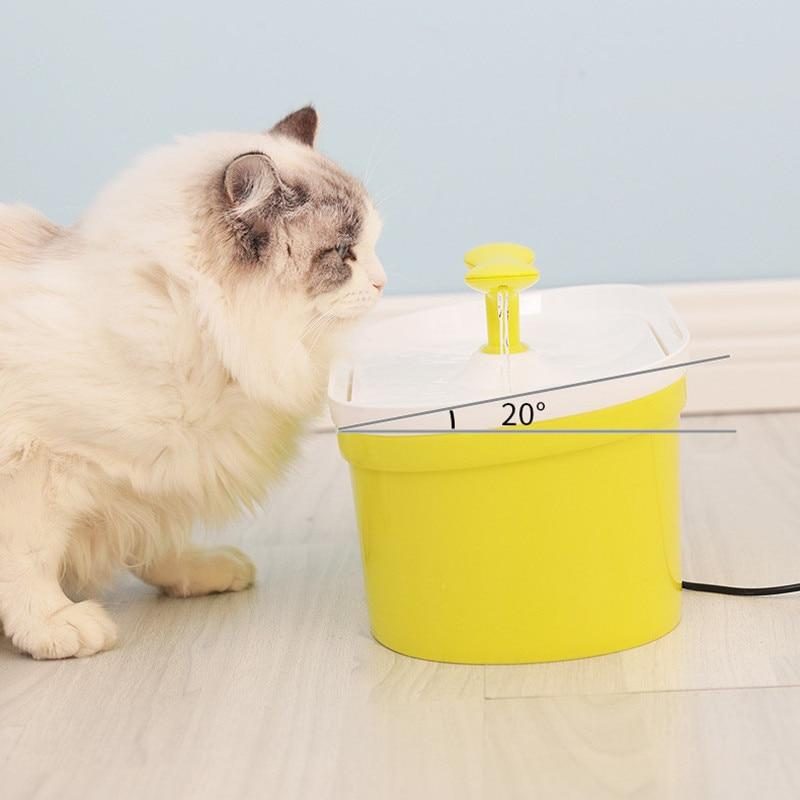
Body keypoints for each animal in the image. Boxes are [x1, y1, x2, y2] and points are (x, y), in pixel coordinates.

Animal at [0, 104, 384, 656]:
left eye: (371, 245)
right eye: (344, 254)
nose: (382, 282)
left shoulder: (153, 479)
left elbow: (155, 541)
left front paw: (198, 572)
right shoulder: (36, 468)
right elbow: (29, 559)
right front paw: (52, 625)